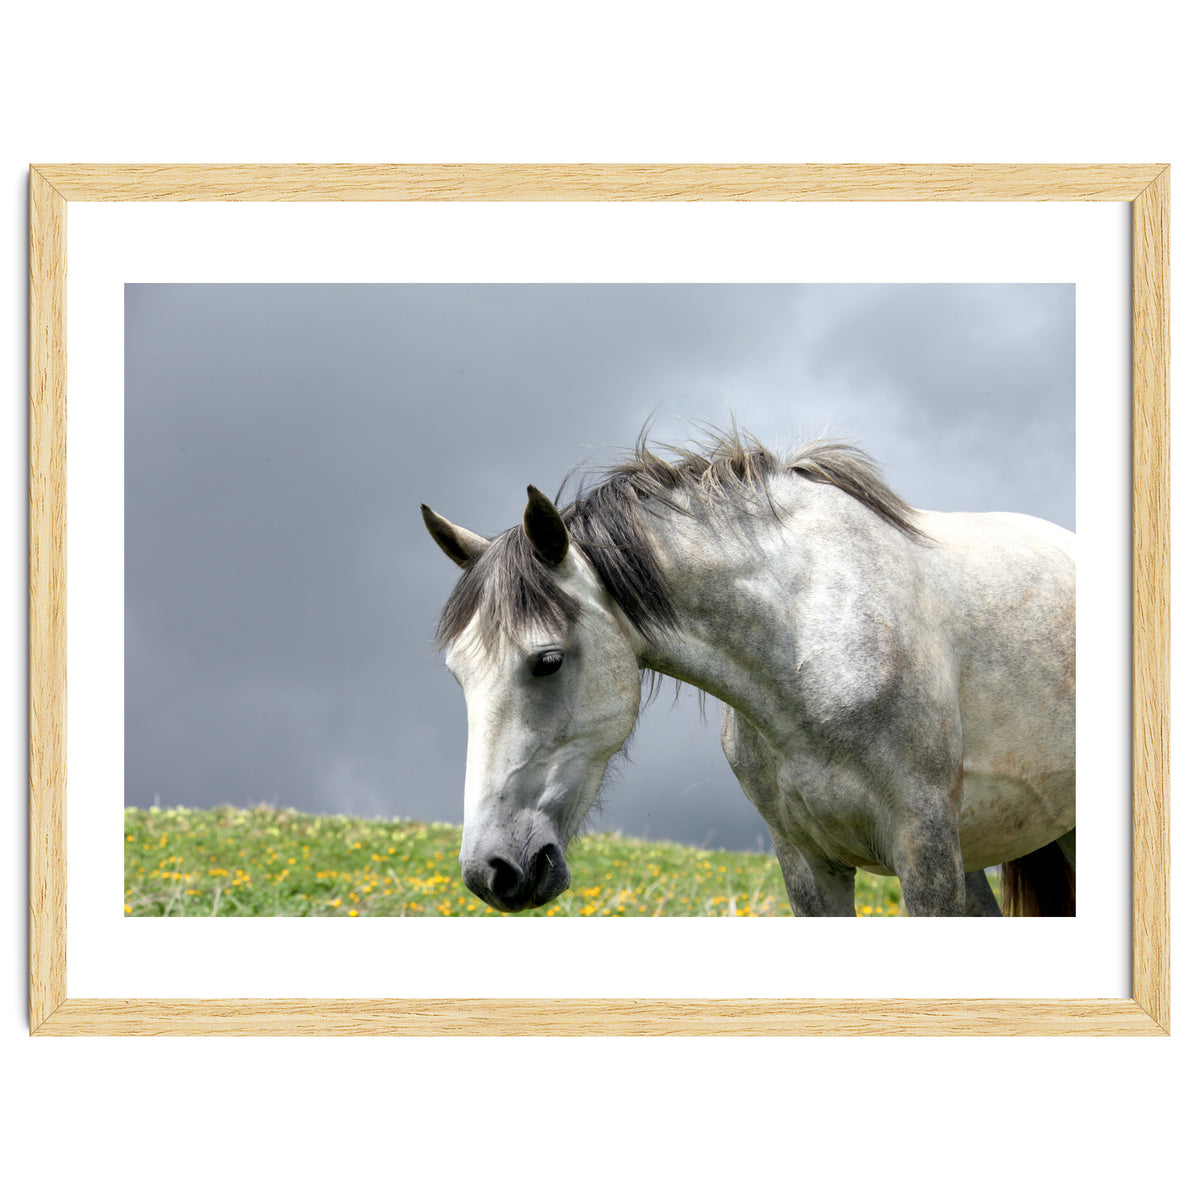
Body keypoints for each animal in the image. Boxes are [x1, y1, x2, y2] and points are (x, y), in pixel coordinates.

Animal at [421, 429, 1076, 917]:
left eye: (548, 661)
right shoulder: (808, 865)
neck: (811, 644)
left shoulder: (925, 850)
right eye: (457, 676)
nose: (492, 871)